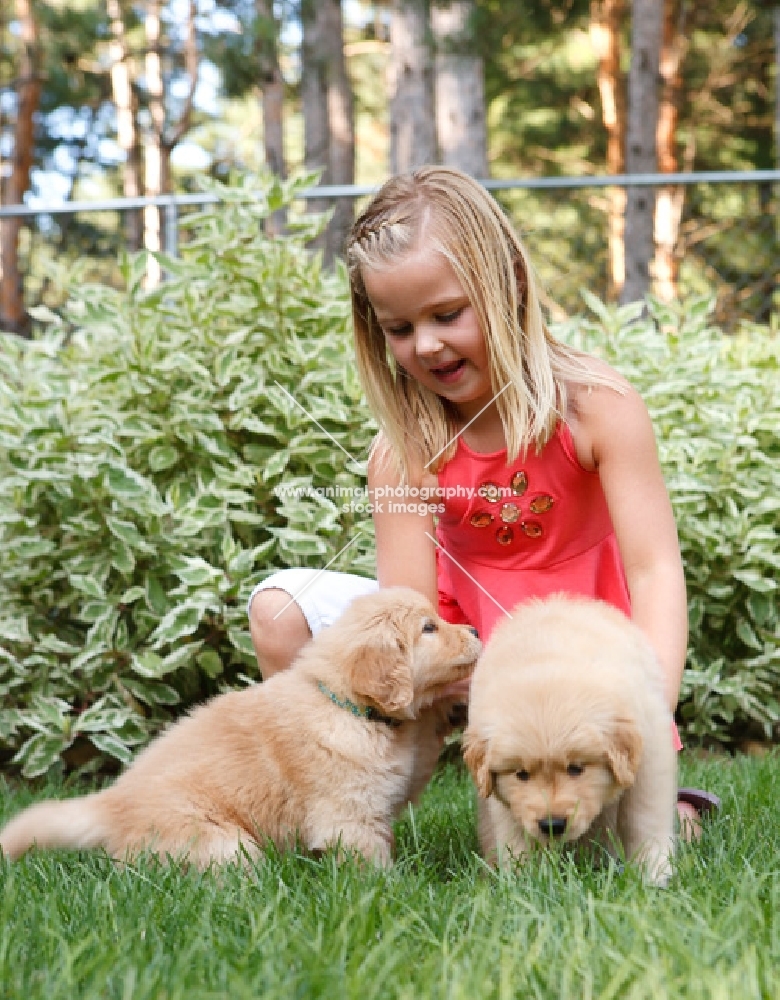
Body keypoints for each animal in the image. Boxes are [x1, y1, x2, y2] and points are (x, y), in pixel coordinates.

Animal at [0, 584, 478, 868]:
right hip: (223, 843)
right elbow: (371, 863)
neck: (345, 706)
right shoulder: (348, 815)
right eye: (429, 628)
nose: (474, 630)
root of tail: (110, 804)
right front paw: (390, 891)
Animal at [464, 592, 676, 884]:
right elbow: (515, 833)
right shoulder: (504, 800)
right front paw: (525, 880)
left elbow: (642, 817)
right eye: (521, 774)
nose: (552, 825)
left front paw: (652, 872)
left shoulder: (650, 756)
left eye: (576, 768)